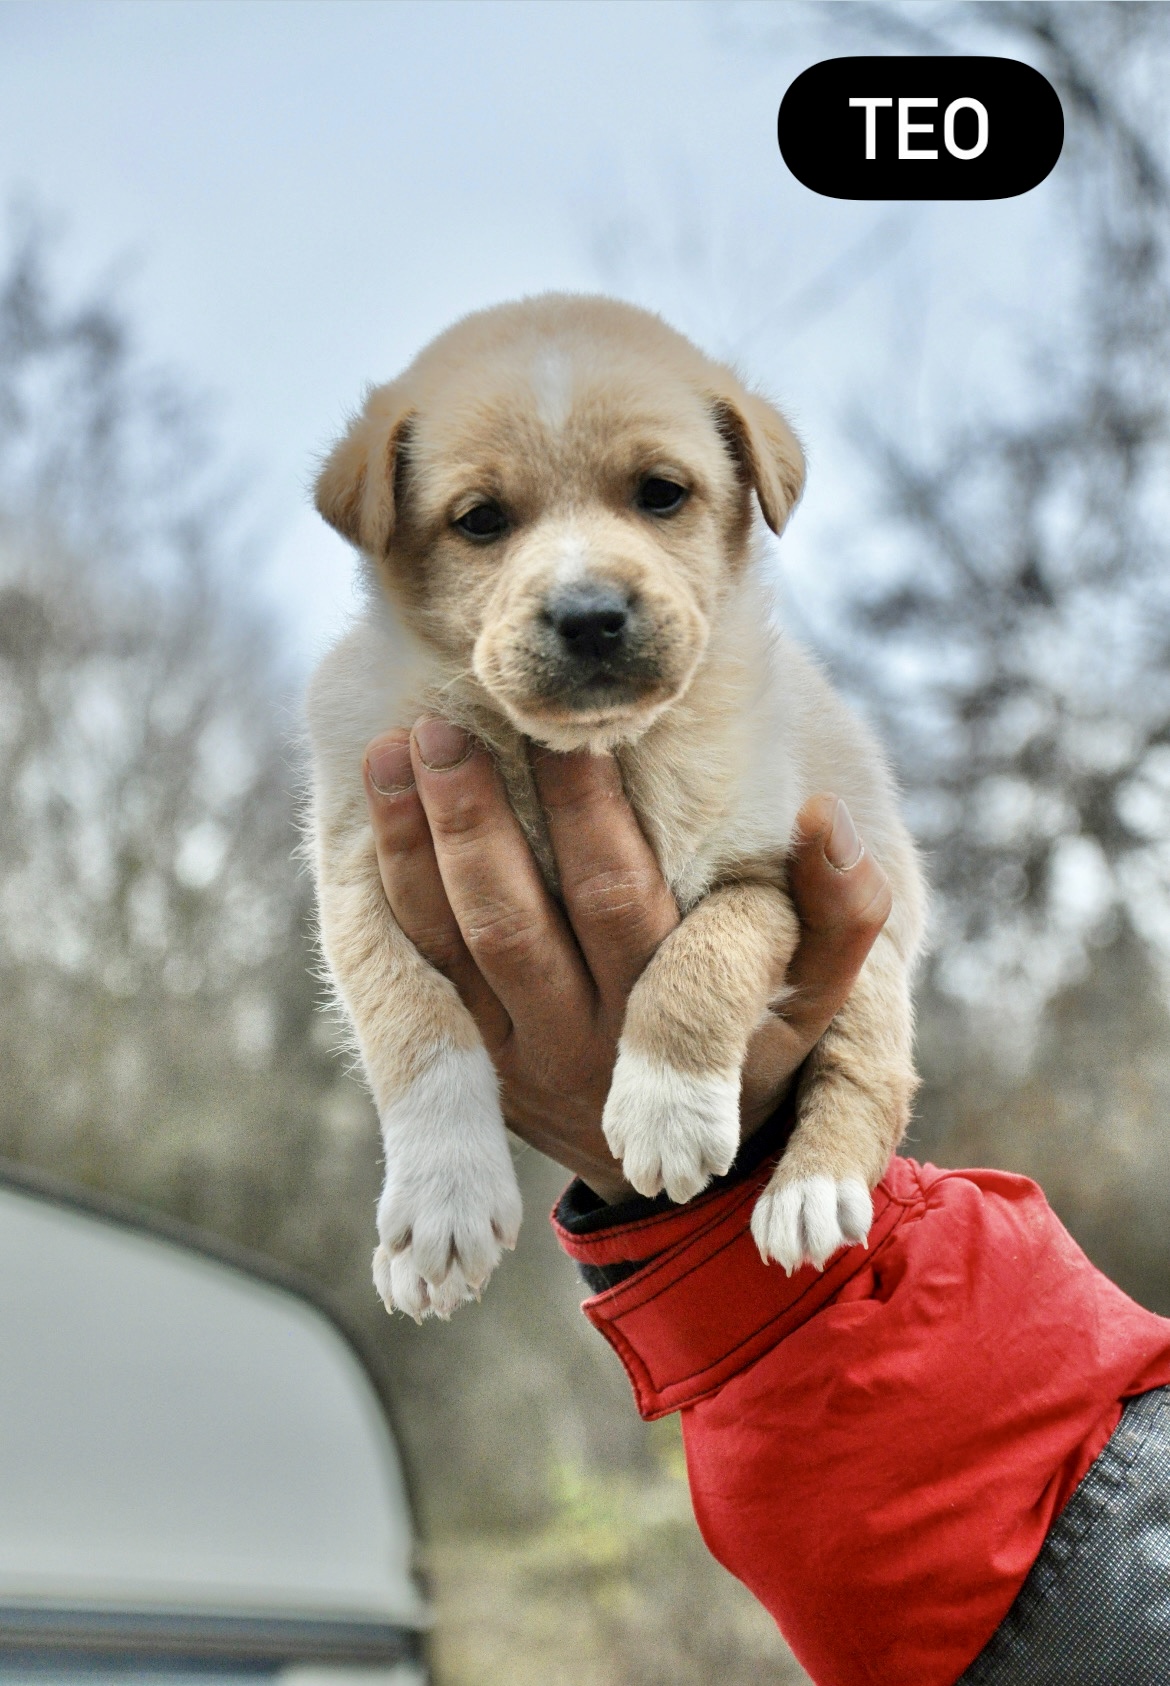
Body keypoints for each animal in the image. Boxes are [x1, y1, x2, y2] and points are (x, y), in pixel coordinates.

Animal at [305, 294, 926, 1320]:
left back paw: (810, 1191)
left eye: (661, 494)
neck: (594, 749)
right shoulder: (363, 877)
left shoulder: (775, 872)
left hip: (876, 945)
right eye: (481, 520)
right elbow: (415, 1031)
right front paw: (440, 1209)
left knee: (871, 1073)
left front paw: (667, 1112)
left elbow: (702, 958)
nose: (591, 616)